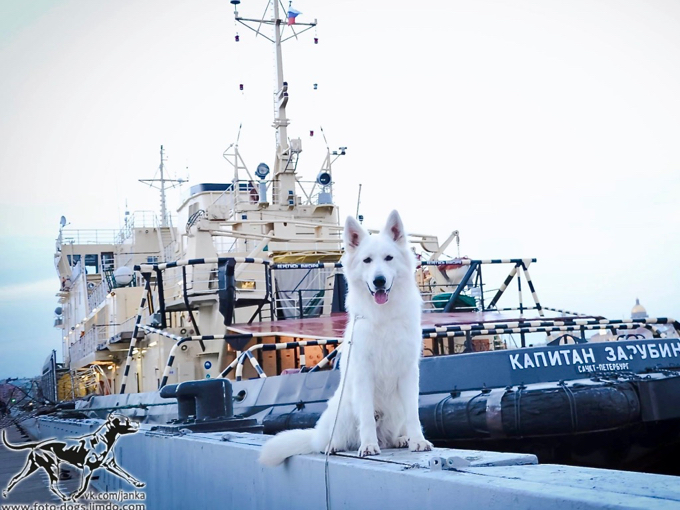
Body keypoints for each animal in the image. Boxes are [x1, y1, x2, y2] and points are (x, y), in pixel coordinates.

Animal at [260, 208, 430, 466]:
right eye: (367, 260)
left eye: (389, 258)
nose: (379, 280)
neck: (383, 317)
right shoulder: (363, 373)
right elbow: (367, 418)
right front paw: (368, 446)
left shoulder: (408, 372)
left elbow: (414, 414)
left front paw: (417, 440)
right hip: (343, 412)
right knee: (335, 439)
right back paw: (335, 445)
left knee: (392, 435)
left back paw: (400, 439)